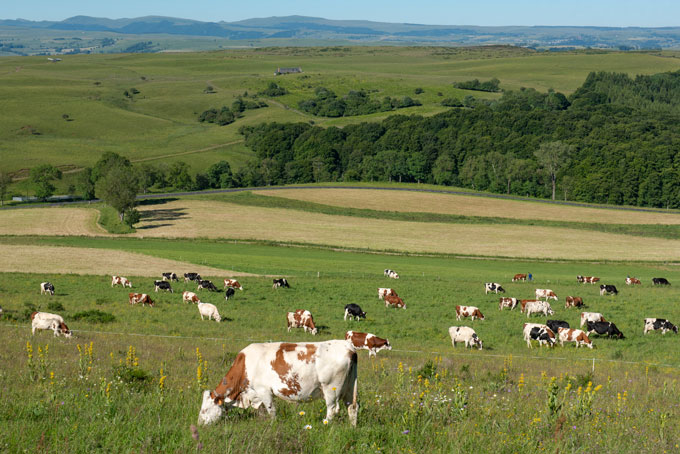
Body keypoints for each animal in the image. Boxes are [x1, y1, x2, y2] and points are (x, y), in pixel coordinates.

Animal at [197, 341, 358, 426]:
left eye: (205, 410)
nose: (199, 424)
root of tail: (348, 346)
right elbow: (262, 411)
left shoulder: (264, 391)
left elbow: (271, 411)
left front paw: (272, 425)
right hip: (350, 388)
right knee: (352, 407)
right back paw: (352, 427)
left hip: (331, 389)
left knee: (332, 409)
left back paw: (326, 425)